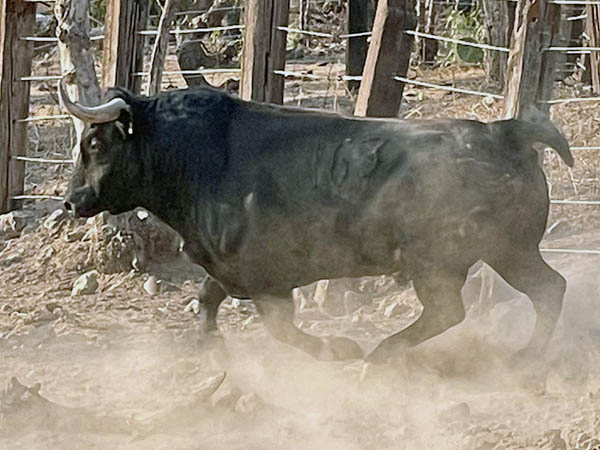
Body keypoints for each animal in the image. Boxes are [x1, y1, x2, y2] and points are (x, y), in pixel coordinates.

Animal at [58, 78, 573, 364]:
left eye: (96, 143)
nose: (71, 201)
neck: (202, 157)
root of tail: (503, 132)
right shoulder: (225, 267)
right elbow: (206, 300)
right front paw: (209, 347)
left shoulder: (268, 281)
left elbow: (281, 329)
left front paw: (340, 348)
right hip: (510, 251)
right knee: (549, 288)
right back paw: (527, 354)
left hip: (450, 261)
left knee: (452, 309)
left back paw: (384, 353)